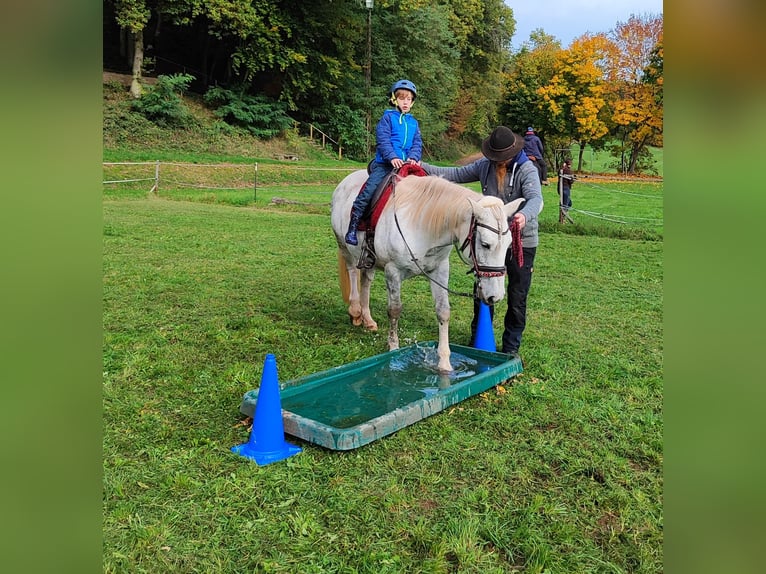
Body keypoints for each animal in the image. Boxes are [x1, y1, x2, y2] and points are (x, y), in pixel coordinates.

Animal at [331, 169, 524, 373]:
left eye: (510, 245)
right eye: (486, 244)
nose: (496, 296)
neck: (421, 224)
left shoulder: (440, 270)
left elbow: (443, 311)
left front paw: (445, 364)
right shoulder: (393, 271)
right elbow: (394, 310)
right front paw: (393, 348)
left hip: (369, 261)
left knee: (366, 281)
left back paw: (367, 319)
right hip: (345, 248)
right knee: (353, 273)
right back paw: (355, 312)